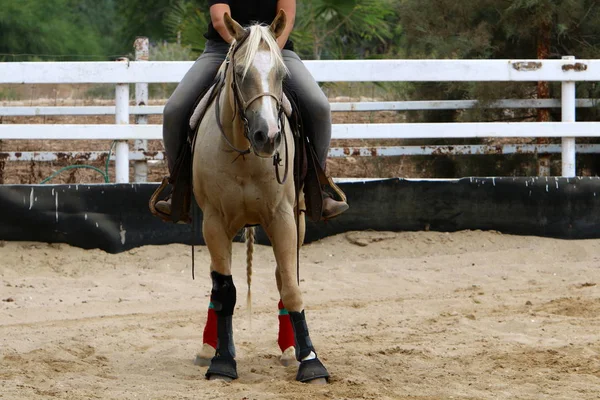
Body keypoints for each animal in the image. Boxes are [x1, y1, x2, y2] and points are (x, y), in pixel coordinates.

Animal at [190, 10, 330, 384]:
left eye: (282, 75)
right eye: (240, 73)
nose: (268, 136)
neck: (245, 154)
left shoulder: (283, 217)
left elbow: (291, 286)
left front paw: (311, 361)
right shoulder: (214, 222)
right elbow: (225, 292)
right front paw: (223, 361)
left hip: (297, 221)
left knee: (284, 275)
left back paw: (290, 349)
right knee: (217, 283)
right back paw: (208, 347)